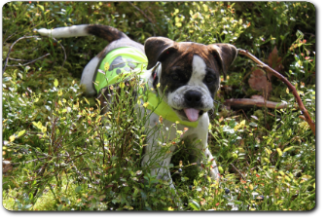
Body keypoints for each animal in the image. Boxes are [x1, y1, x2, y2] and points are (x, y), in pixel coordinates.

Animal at [37, 24, 238, 193]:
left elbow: (214, 177)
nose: (194, 95)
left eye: (210, 78)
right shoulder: (157, 165)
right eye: (176, 76)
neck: (177, 118)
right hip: (87, 82)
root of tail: (122, 39)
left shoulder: (201, 150)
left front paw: (220, 197)